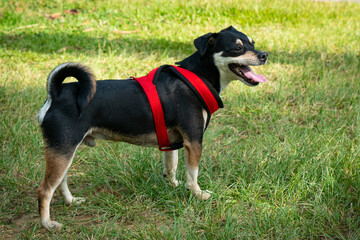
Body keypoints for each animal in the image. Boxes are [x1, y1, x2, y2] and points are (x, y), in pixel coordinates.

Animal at [37, 25, 268, 230]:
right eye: (237, 48)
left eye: (253, 43)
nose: (264, 55)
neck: (197, 77)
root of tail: (56, 93)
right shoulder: (193, 141)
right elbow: (192, 173)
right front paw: (197, 194)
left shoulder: (173, 142)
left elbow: (171, 166)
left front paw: (172, 186)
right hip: (62, 151)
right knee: (45, 190)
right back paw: (47, 224)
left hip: (65, 151)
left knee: (60, 182)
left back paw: (71, 201)